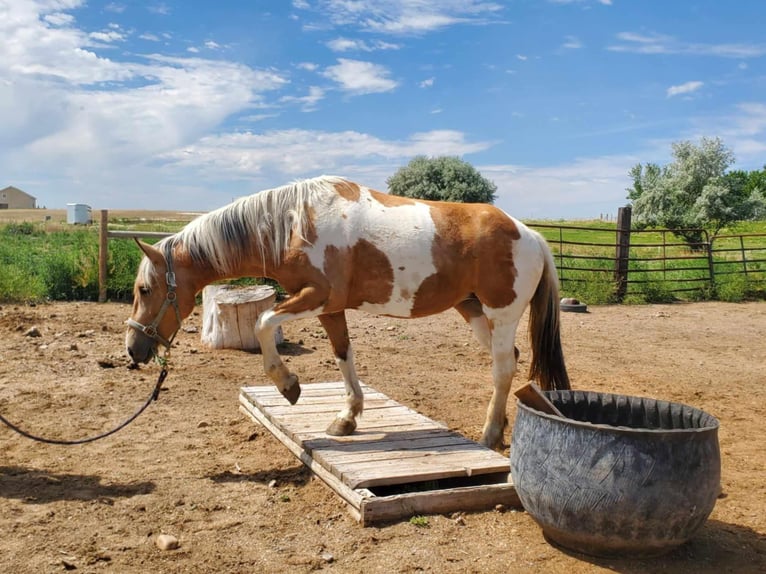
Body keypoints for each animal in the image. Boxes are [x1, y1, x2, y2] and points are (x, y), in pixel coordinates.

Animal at [126, 173, 568, 452]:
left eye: (145, 289)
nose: (133, 349)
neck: (293, 223)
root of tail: (529, 234)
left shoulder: (316, 297)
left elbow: (264, 323)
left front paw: (288, 385)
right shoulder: (330, 308)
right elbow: (343, 355)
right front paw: (347, 417)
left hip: (502, 313)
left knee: (503, 368)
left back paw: (490, 434)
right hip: (474, 311)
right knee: (507, 361)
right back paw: (499, 426)